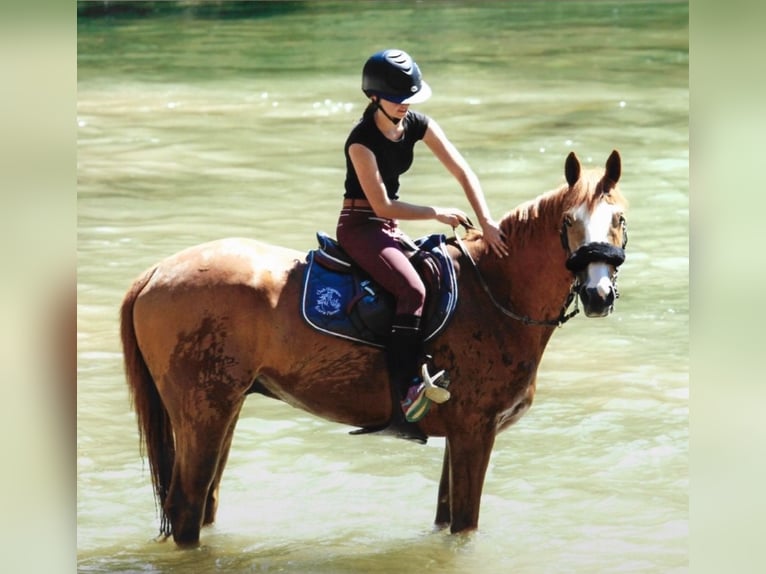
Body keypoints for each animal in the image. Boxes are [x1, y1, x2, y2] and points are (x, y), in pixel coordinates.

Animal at [118, 151, 624, 548]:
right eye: (568, 222)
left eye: (618, 219)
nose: (598, 295)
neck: (493, 290)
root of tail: (157, 271)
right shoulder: (475, 432)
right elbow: (464, 525)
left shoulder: (461, 436)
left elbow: (445, 517)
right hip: (203, 410)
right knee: (186, 507)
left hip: (224, 408)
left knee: (204, 503)